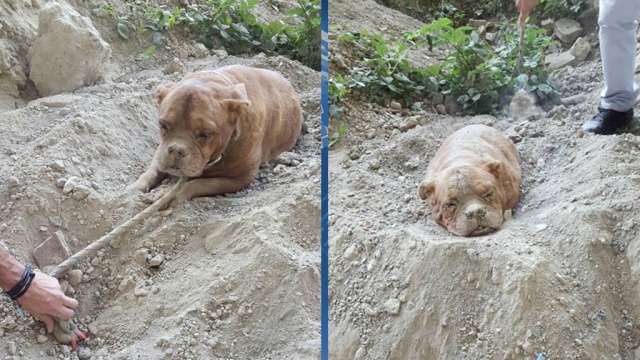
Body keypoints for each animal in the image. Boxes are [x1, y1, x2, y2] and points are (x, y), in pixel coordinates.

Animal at [130, 64, 304, 208]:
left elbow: (197, 184)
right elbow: (153, 169)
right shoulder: (161, 150)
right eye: (163, 125)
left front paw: (167, 196)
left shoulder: (240, 178)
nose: (176, 149)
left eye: (205, 134)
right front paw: (136, 187)